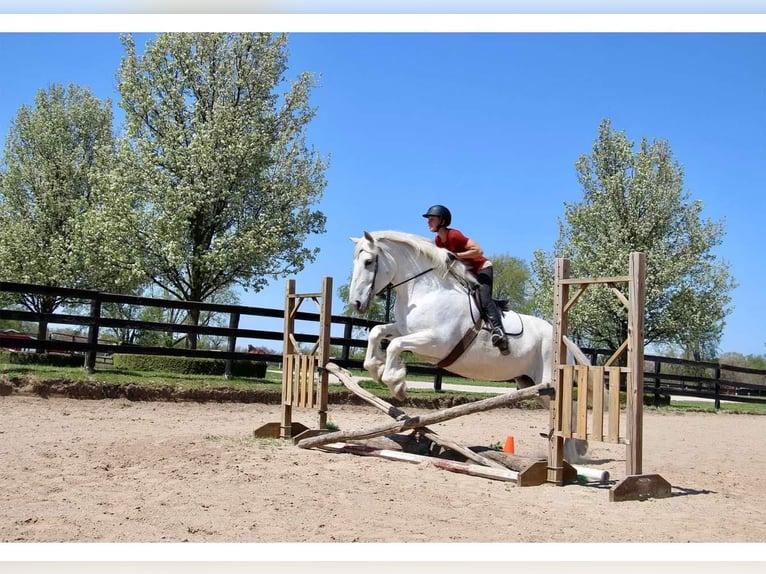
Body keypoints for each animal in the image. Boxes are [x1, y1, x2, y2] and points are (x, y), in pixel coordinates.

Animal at [350, 230, 592, 464]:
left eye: (369, 262)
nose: (356, 304)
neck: (425, 291)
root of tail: (562, 338)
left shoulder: (437, 342)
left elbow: (394, 346)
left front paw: (396, 383)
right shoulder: (404, 329)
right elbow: (377, 332)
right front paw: (376, 368)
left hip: (547, 379)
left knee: (567, 411)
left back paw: (572, 456)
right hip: (531, 385)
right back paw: (572, 453)